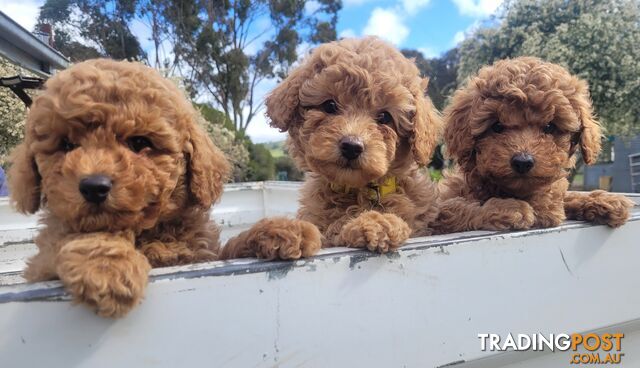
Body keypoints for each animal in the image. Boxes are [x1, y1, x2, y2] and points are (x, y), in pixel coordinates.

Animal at [8, 58, 318, 316]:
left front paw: (284, 229)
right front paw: (107, 265)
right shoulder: (39, 269)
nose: (93, 186)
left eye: (139, 142)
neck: (148, 231)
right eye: (67, 145)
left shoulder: (205, 255)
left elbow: (234, 247)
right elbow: (66, 241)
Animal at [436, 55, 636, 231]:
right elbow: (456, 209)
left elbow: (566, 197)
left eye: (550, 126)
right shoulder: (441, 207)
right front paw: (508, 208)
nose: (522, 162)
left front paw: (604, 200)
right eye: (497, 126)